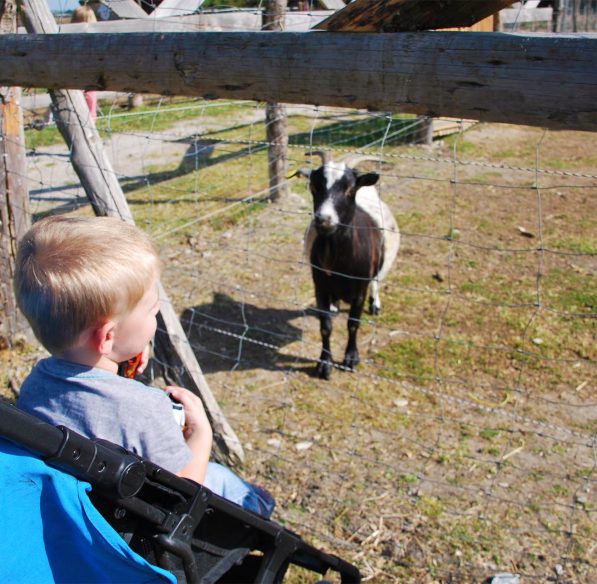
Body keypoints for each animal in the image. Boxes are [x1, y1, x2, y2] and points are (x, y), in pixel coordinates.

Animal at [300, 152, 398, 378]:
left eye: (350, 189)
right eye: (313, 186)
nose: (324, 220)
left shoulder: (359, 288)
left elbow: (353, 324)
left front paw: (351, 358)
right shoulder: (320, 285)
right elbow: (325, 326)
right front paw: (324, 363)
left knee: (377, 280)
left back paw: (375, 304)